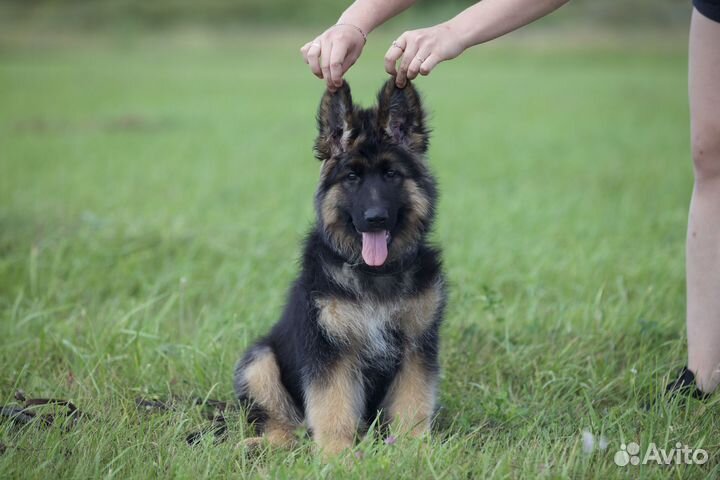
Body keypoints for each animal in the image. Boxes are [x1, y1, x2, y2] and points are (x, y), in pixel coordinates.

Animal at [233, 79, 444, 458]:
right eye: (352, 177)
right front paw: (338, 456)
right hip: (259, 362)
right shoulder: (331, 351)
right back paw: (259, 445)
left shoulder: (417, 347)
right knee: (283, 425)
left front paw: (413, 448)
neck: (374, 274)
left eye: (391, 174)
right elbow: (333, 406)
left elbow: (412, 403)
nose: (375, 218)